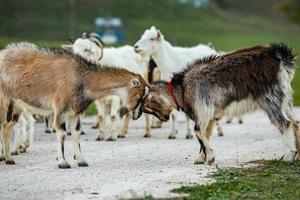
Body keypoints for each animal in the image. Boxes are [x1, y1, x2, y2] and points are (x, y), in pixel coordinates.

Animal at [0, 41, 148, 167]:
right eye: (140, 95)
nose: (137, 115)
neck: (82, 78)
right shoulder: (60, 107)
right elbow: (62, 134)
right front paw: (62, 162)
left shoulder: (74, 111)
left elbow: (76, 134)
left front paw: (81, 160)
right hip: (3, 101)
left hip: (16, 105)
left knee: (7, 127)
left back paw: (8, 158)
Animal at [142, 43, 300, 164]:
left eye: (149, 106)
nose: (163, 119)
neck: (182, 87)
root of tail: (280, 59)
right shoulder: (211, 116)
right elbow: (205, 135)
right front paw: (201, 158)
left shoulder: (203, 109)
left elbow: (197, 131)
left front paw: (211, 157)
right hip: (285, 97)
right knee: (294, 122)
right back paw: (297, 154)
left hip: (270, 99)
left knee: (284, 123)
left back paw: (289, 155)